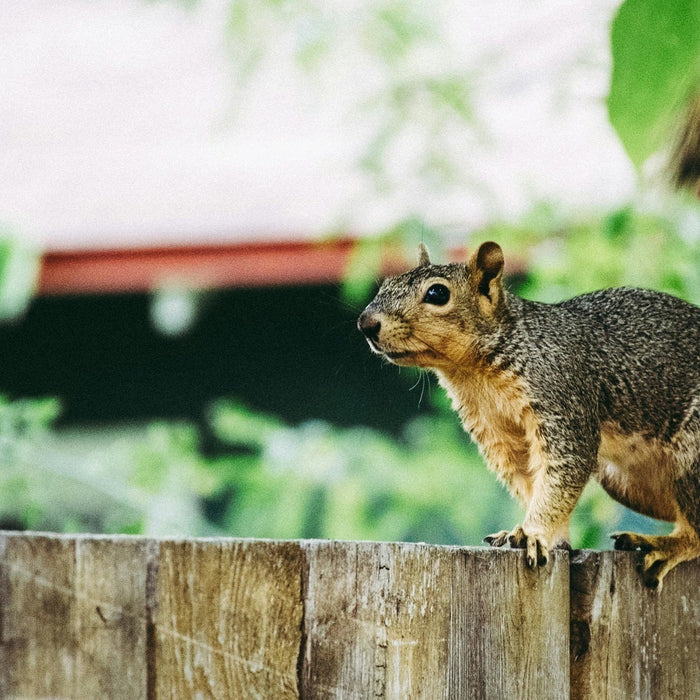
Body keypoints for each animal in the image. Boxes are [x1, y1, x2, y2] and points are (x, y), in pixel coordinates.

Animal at [358, 241, 700, 589]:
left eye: (438, 293)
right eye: (386, 285)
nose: (366, 324)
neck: (472, 374)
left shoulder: (561, 399)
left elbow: (561, 475)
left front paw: (533, 533)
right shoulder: (498, 431)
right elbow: (530, 481)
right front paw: (547, 537)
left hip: (692, 462)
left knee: (695, 535)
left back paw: (663, 546)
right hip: (626, 483)